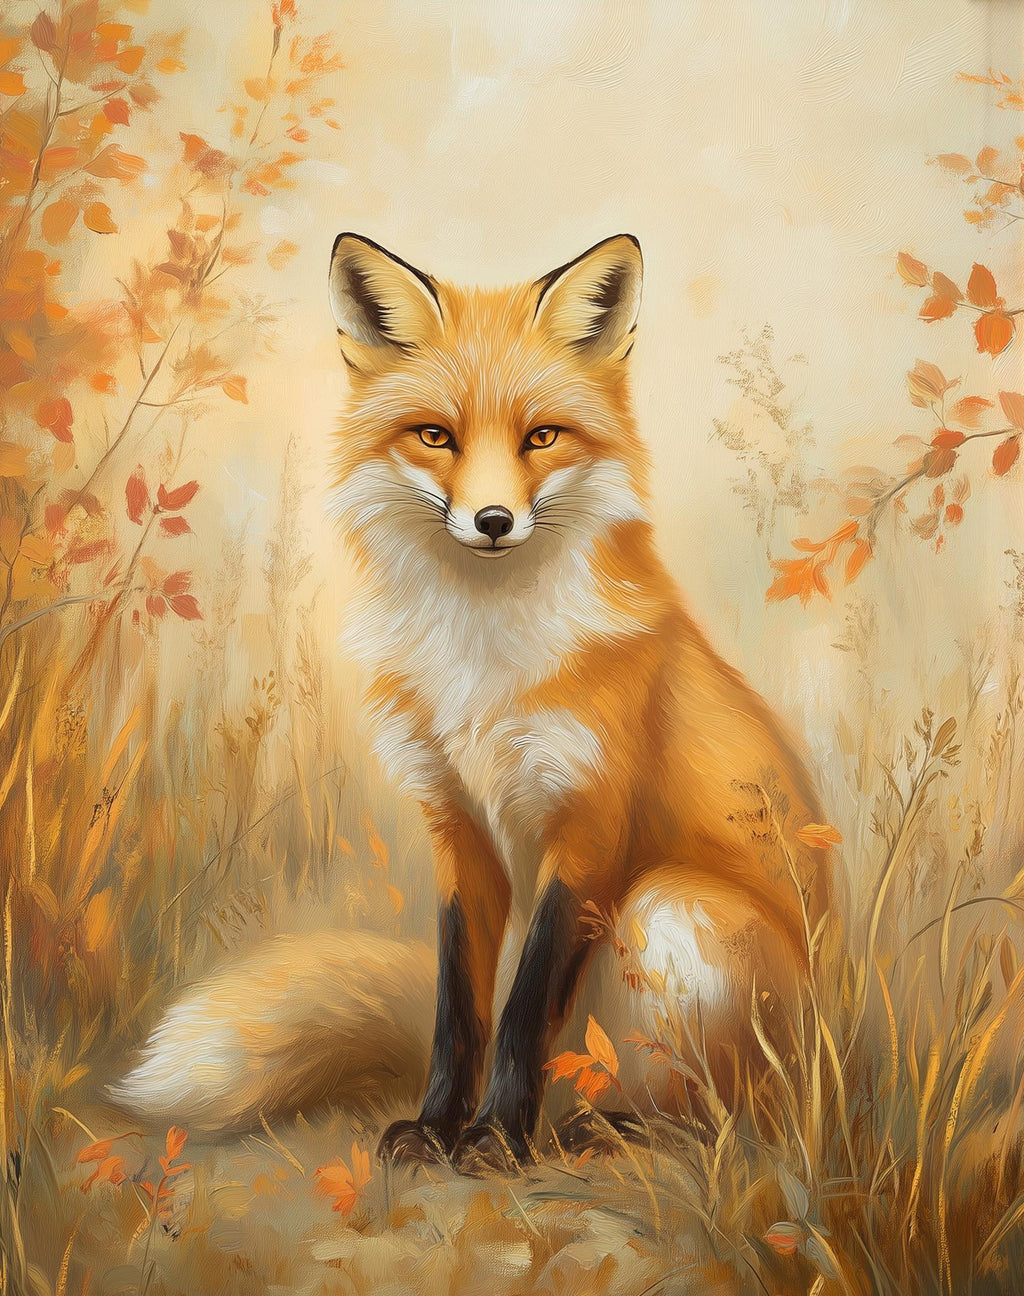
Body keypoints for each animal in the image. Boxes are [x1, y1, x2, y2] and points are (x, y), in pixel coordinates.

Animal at [112, 233, 832, 1173]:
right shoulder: (456, 823)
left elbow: (523, 1010)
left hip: (676, 907)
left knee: (733, 1116)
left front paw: (493, 1139)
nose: (492, 520)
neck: (481, 664)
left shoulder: (588, 824)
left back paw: (614, 1131)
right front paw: (438, 1127)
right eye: (435, 437)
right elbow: (462, 1009)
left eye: (542, 437)